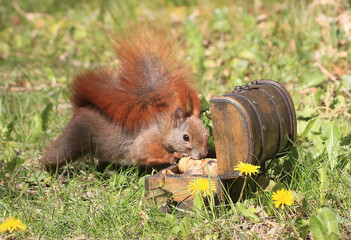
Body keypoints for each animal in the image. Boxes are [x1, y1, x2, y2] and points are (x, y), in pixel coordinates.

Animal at [43, 27, 210, 171]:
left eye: (207, 133)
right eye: (186, 137)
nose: (203, 154)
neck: (164, 128)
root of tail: (80, 107)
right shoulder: (148, 139)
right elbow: (141, 151)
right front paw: (172, 156)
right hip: (74, 137)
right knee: (57, 154)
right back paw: (46, 169)